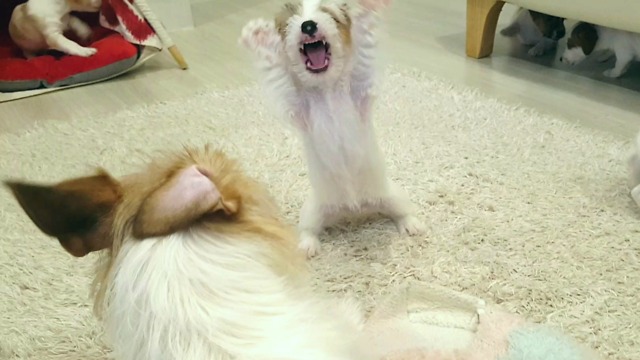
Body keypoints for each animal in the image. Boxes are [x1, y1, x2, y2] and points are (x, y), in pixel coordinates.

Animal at [240, 0, 424, 258]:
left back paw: (411, 224)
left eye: (329, 14)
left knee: (402, 211)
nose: (308, 25)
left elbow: (364, 41)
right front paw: (258, 35)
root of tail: (355, 210)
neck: (326, 89)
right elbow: (275, 67)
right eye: (294, 19)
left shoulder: (360, 87)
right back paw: (307, 245)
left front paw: (369, 7)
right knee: (309, 229)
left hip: (392, 195)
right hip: (312, 211)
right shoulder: (296, 103)